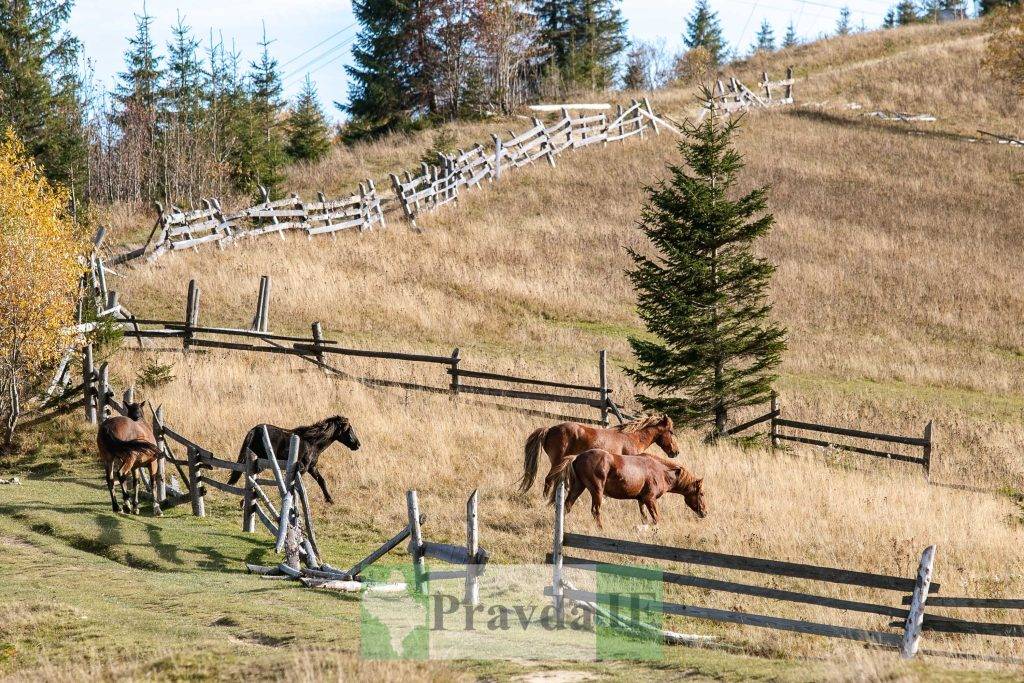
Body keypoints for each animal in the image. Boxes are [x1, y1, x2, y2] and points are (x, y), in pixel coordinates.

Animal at [227, 413, 360, 505]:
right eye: (348, 429)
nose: (358, 445)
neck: (312, 443)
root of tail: (255, 430)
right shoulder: (303, 468)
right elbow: (291, 484)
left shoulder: (311, 467)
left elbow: (321, 481)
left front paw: (330, 500)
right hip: (262, 462)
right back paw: (245, 501)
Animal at [520, 413, 679, 499]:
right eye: (671, 432)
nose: (676, 452)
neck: (631, 438)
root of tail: (549, 430)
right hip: (557, 462)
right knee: (548, 479)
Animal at [552, 448, 704, 528]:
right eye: (701, 493)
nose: (705, 512)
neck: (661, 471)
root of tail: (577, 457)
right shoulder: (650, 499)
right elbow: (656, 518)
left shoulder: (641, 500)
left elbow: (644, 517)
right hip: (597, 491)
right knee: (595, 511)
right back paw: (601, 529)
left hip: (578, 487)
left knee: (567, 505)